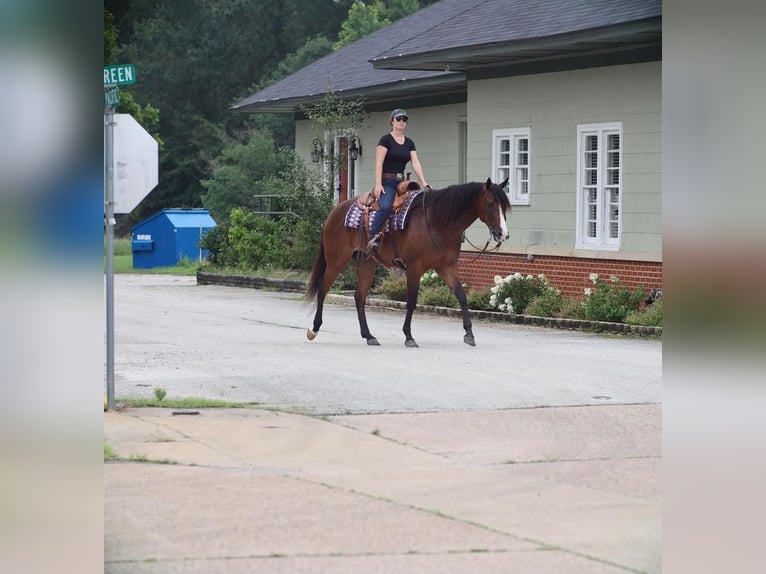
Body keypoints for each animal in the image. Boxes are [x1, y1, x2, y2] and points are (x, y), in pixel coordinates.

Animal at [304, 180, 510, 348]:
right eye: (490, 204)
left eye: (505, 206)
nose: (504, 234)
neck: (436, 222)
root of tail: (334, 211)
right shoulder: (414, 268)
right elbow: (411, 301)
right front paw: (409, 336)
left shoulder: (446, 267)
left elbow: (461, 295)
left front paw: (469, 334)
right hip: (336, 260)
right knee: (323, 290)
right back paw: (314, 329)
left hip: (366, 263)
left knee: (359, 297)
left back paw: (369, 336)